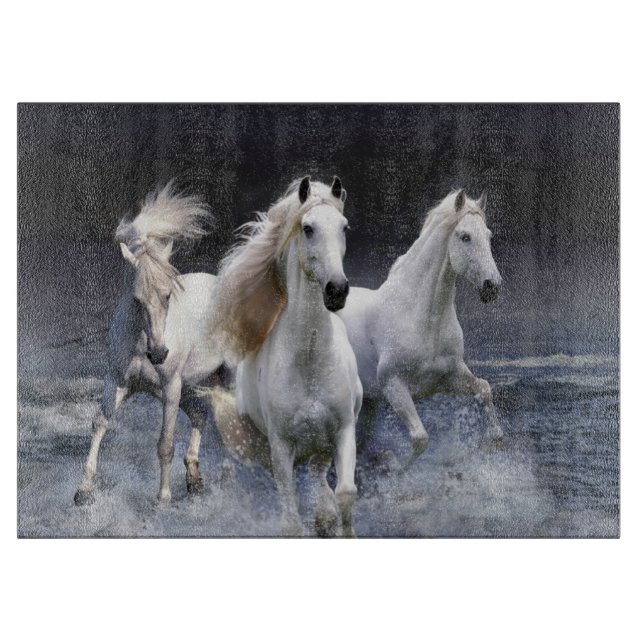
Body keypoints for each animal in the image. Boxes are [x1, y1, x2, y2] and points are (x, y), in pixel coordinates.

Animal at [74, 181, 226, 505]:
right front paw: (83, 490)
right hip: (190, 385)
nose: (158, 353)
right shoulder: (118, 382)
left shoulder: (169, 389)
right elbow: (99, 423)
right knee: (200, 415)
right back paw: (194, 480)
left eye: (168, 295)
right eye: (137, 299)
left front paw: (163, 498)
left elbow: (165, 443)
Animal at [210, 176, 362, 537]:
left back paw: (324, 516)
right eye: (307, 228)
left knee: (319, 476)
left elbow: (346, 492)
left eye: (344, 226)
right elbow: (290, 518)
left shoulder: (343, 431)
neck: (309, 361)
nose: (337, 290)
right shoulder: (280, 446)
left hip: (320, 445)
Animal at [337, 188, 503, 465]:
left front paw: (493, 440)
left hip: (368, 405)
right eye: (465, 236)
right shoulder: (394, 385)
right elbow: (420, 438)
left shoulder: (448, 377)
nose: (492, 286)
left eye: (488, 236)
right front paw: (393, 464)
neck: (423, 320)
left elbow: (484, 389)